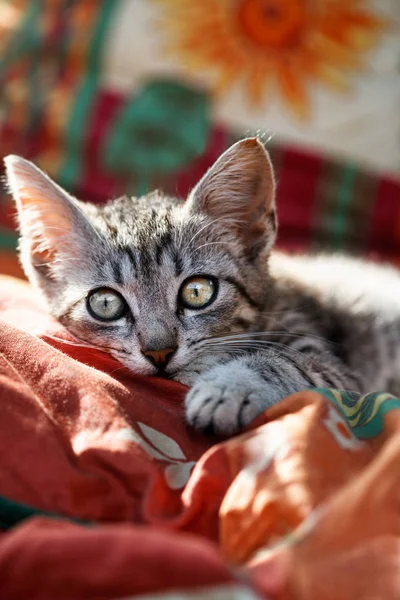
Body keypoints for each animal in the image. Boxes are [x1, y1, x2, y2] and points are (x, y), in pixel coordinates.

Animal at [4, 138, 400, 434]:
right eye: (105, 304)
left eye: (197, 292)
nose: (159, 353)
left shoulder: (343, 374)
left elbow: (287, 361)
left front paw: (228, 387)